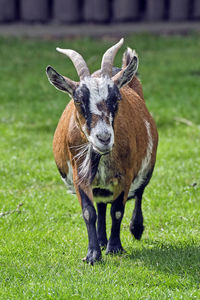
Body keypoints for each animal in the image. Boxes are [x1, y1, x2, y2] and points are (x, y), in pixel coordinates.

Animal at [45, 38, 158, 264]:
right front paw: (93, 254)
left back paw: (136, 229)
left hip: (146, 166)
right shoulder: (80, 175)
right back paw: (102, 239)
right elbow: (90, 212)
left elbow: (117, 211)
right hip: (99, 183)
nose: (104, 138)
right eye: (78, 100)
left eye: (116, 99)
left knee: (139, 192)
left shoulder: (125, 175)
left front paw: (115, 248)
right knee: (101, 204)